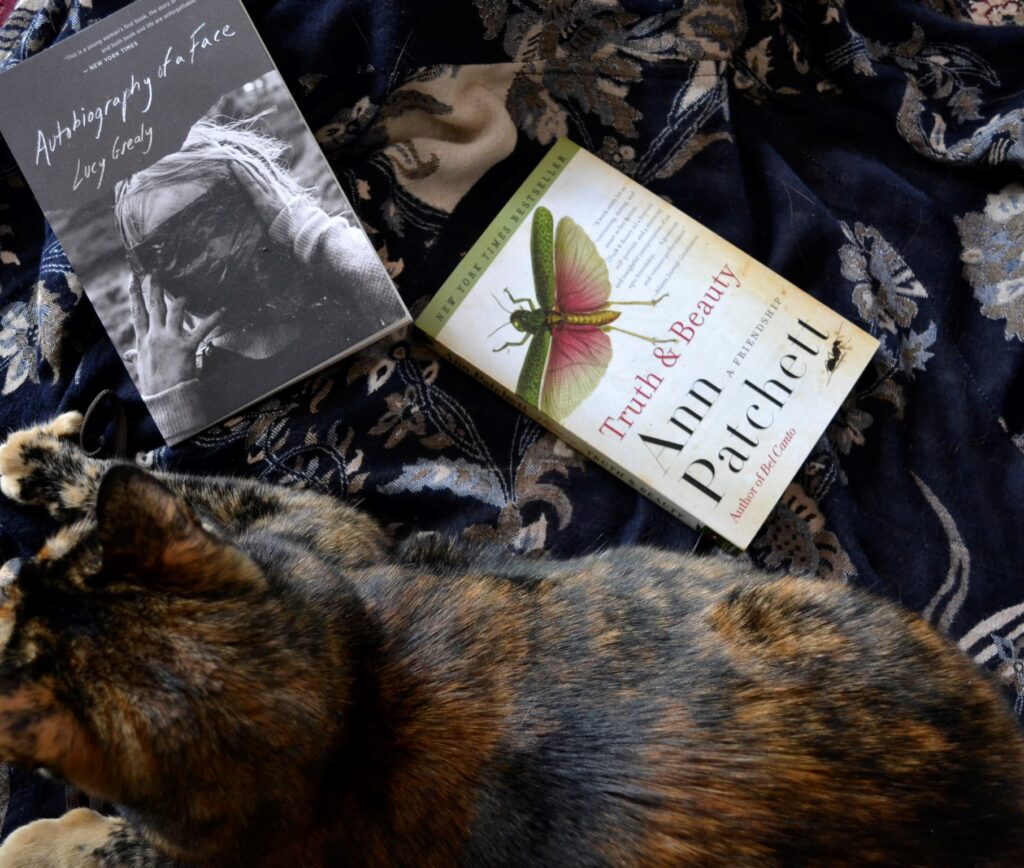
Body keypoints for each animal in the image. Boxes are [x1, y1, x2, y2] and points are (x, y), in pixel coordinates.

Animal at [0, 415, 1024, 868]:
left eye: (48, 558)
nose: (18, 570)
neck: (348, 730)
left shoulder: (334, 533)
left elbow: (195, 480)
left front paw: (40, 465)